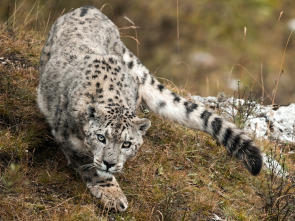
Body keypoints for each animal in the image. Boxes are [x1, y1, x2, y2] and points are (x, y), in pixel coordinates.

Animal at [37, 6, 264, 212]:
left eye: (127, 143)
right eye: (101, 137)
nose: (110, 162)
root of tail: (89, 8)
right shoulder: (67, 138)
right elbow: (91, 167)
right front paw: (113, 195)